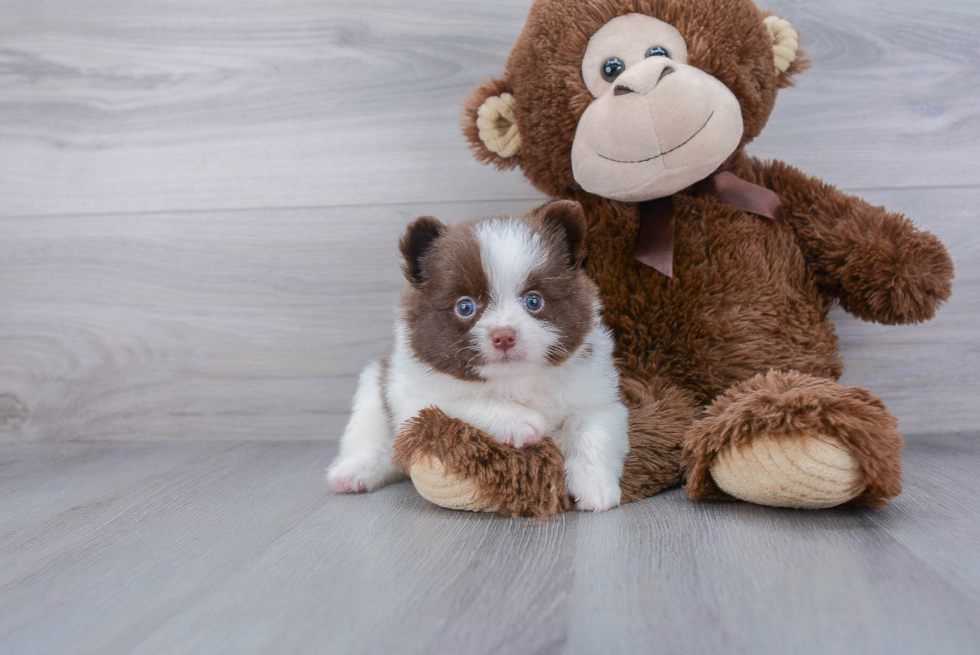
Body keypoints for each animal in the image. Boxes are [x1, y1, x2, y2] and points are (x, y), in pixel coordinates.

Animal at [328, 200, 628, 512]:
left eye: (534, 301)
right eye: (465, 307)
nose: (504, 335)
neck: (515, 378)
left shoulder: (596, 398)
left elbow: (594, 435)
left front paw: (596, 487)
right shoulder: (416, 400)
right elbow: (462, 402)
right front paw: (519, 421)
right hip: (373, 388)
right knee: (372, 440)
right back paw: (355, 471)